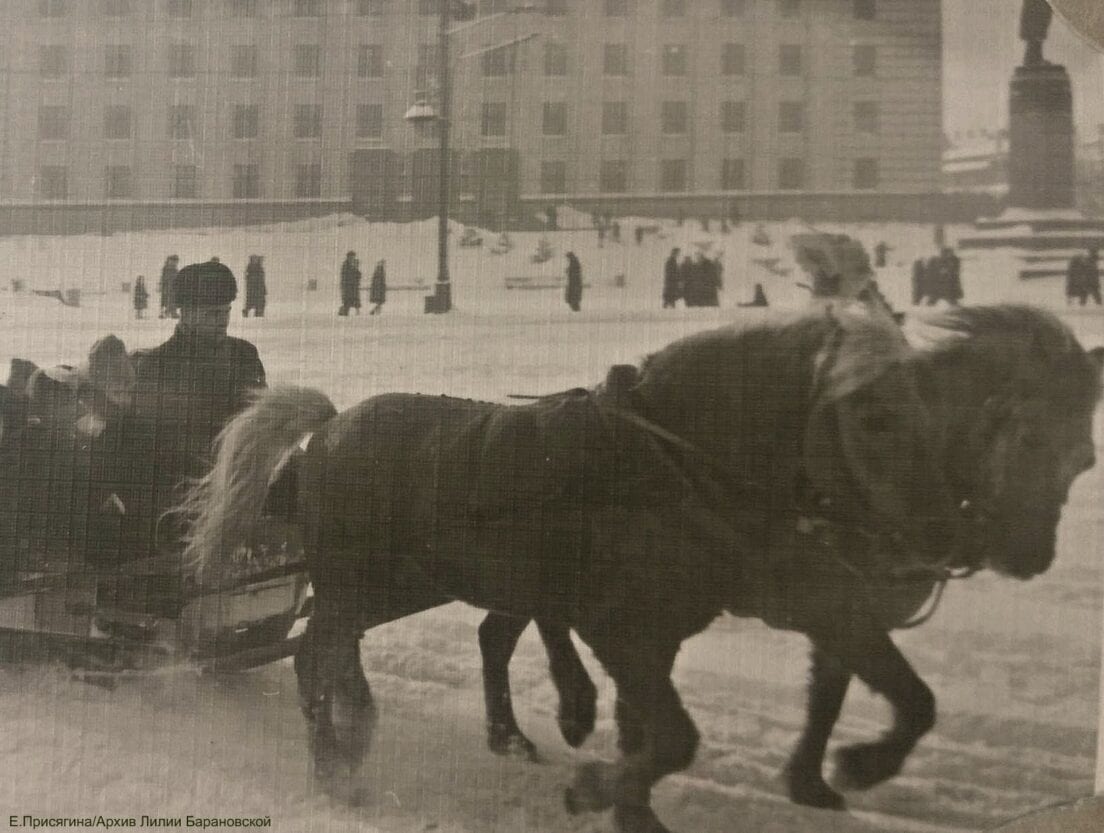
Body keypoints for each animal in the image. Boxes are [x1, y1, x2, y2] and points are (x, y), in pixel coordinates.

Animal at [176, 308, 962, 833]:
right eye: (875, 416)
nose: (941, 529)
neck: (665, 462)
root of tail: (328, 430)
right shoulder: (619, 629)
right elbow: (671, 736)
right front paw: (595, 787)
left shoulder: (656, 633)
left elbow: (649, 731)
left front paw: (619, 792)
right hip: (353, 583)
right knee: (315, 656)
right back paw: (335, 768)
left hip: (387, 585)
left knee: (337, 652)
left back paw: (359, 733)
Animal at [470, 304, 1099, 816]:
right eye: (1031, 439)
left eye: (1087, 458)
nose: (1029, 557)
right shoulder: (835, 610)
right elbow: (916, 701)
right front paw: (862, 766)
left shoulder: (845, 614)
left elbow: (829, 698)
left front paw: (810, 780)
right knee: (528, 623)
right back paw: (565, 715)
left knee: (508, 627)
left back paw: (533, 728)